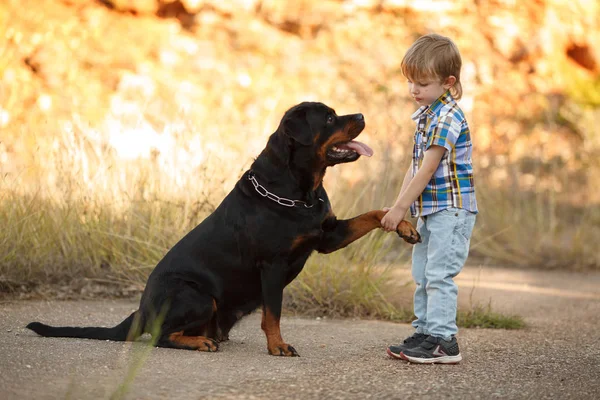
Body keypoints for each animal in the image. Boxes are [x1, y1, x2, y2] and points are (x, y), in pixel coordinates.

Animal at [28, 102, 420, 356]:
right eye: (328, 117)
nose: (362, 115)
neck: (300, 192)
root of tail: (141, 308)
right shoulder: (273, 264)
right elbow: (273, 313)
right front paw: (277, 346)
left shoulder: (328, 235)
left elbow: (375, 213)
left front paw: (404, 226)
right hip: (198, 296)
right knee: (159, 336)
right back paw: (201, 342)